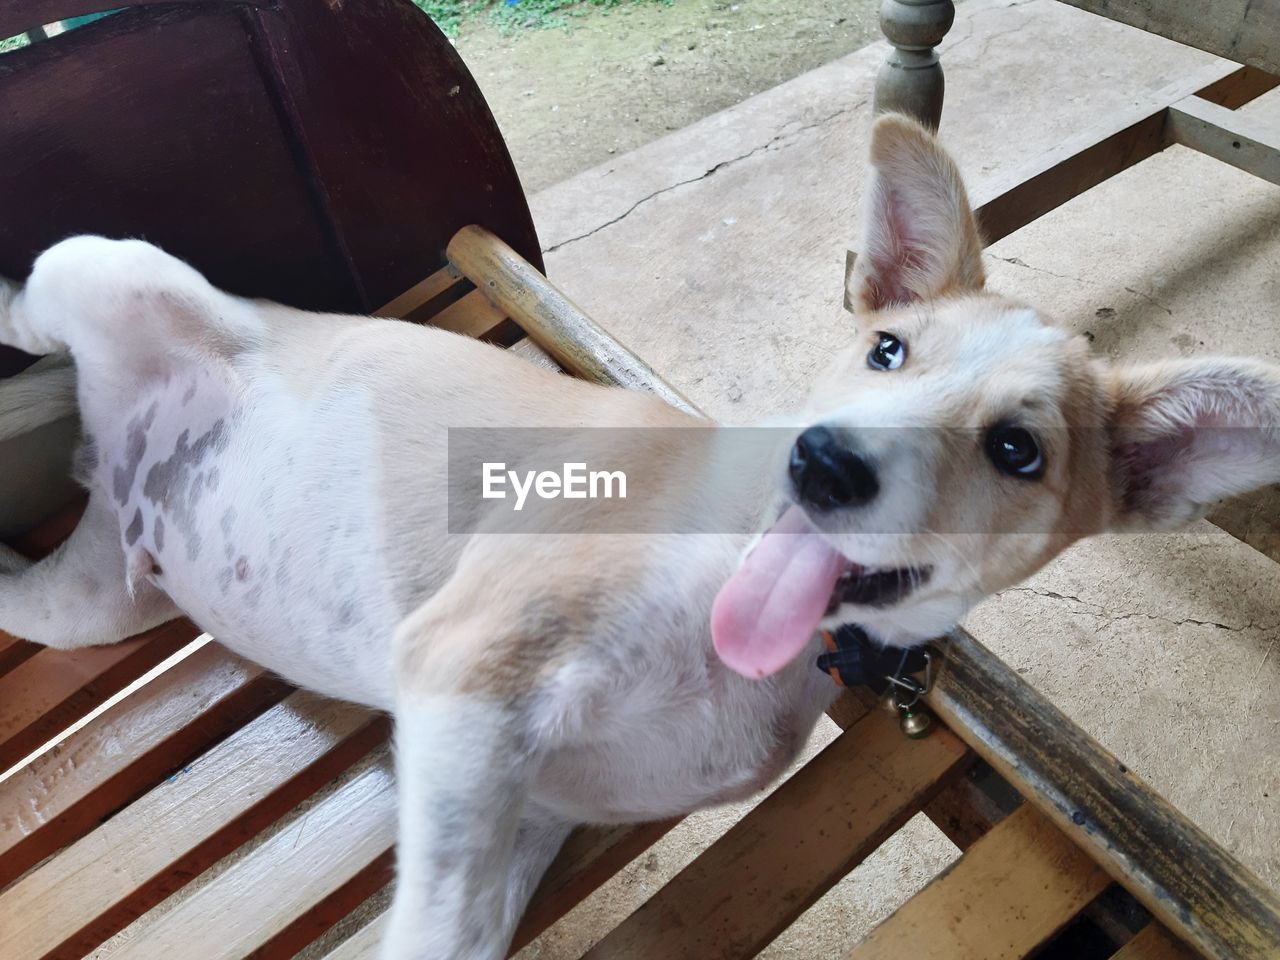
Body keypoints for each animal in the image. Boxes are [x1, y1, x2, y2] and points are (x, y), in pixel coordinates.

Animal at [0, 114, 1274, 960]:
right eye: (886, 351)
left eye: (1016, 451)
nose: (822, 459)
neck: (720, 620)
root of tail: (109, 449)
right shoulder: (466, 670)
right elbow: (431, 930)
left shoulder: (526, 803)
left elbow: (458, 931)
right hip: (104, 268)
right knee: (27, 304)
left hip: (93, 600)